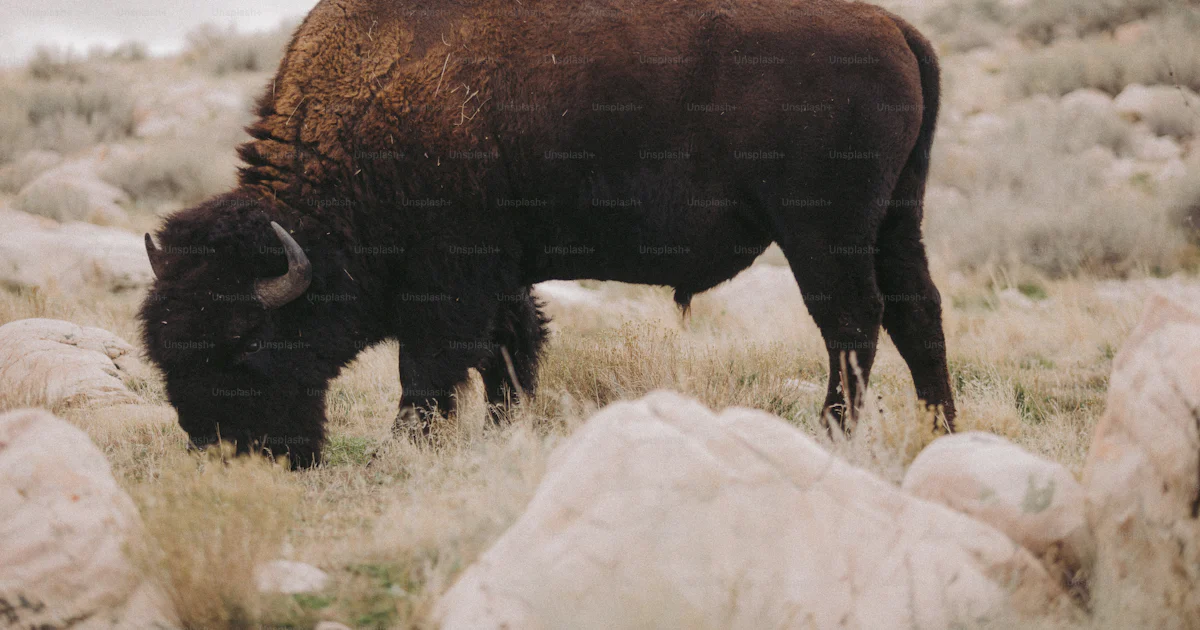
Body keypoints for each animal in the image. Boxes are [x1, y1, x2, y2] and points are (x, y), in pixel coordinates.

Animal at [140, 0, 956, 467]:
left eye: (245, 344)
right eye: (164, 353)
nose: (230, 453)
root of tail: (897, 29)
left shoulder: (452, 278)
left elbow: (431, 369)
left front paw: (404, 449)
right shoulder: (502, 274)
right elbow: (510, 354)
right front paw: (506, 431)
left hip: (823, 230)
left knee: (852, 321)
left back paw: (835, 432)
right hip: (896, 218)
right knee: (917, 312)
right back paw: (941, 429)